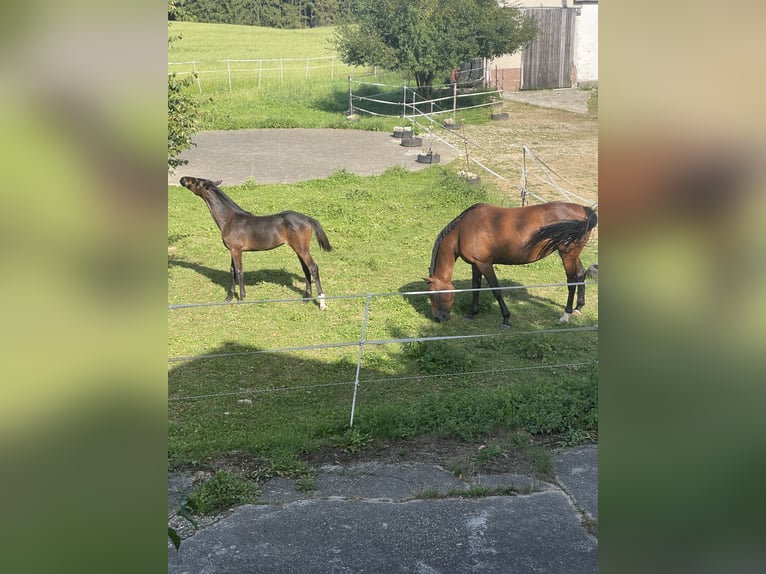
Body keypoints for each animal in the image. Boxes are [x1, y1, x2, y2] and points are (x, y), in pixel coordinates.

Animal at [179, 176, 333, 309]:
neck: (230, 219)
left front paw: (241, 297)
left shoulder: (236, 250)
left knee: (313, 268)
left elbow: (239, 271)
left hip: (302, 249)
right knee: (306, 269)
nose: (182, 179)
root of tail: (308, 218)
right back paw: (306, 298)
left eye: (196, 181)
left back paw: (322, 303)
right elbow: (232, 271)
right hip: (299, 249)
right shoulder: (232, 250)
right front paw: (228, 298)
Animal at [424, 202, 597, 327]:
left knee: (572, 280)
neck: (462, 230)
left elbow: (496, 290)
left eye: (432, 294)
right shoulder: (476, 264)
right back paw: (578, 308)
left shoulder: (484, 264)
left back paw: (566, 315)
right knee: (581, 274)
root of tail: (586, 211)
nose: (438, 318)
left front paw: (506, 319)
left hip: (567, 255)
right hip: (573, 255)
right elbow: (475, 288)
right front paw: (472, 313)